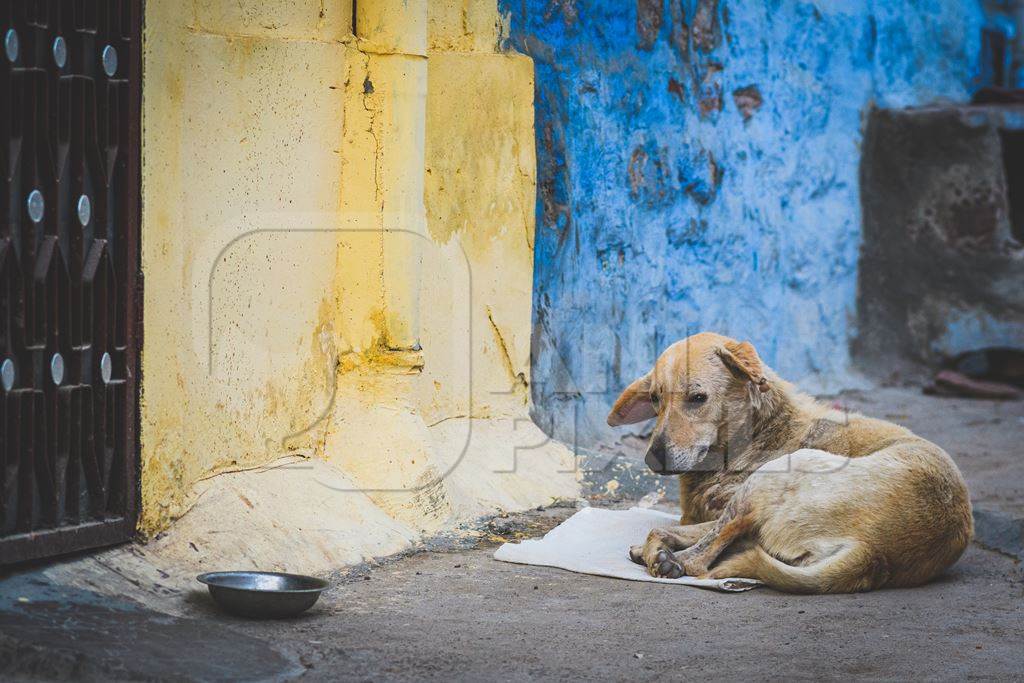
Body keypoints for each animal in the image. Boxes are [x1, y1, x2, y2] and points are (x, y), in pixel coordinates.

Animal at [610, 331, 970, 593]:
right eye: (655, 399)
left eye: (698, 398)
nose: (652, 459)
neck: (762, 430)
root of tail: (872, 551)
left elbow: (670, 529)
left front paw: (657, 552)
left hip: (775, 475)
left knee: (699, 557)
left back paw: (669, 560)